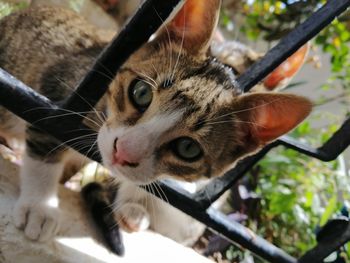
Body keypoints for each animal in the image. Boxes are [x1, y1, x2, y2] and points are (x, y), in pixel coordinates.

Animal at [0, 0, 312, 245]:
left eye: (188, 149)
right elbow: (47, 140)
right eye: (140, 93)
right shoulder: (63, 89)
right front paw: (40, 206)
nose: (123, 152)